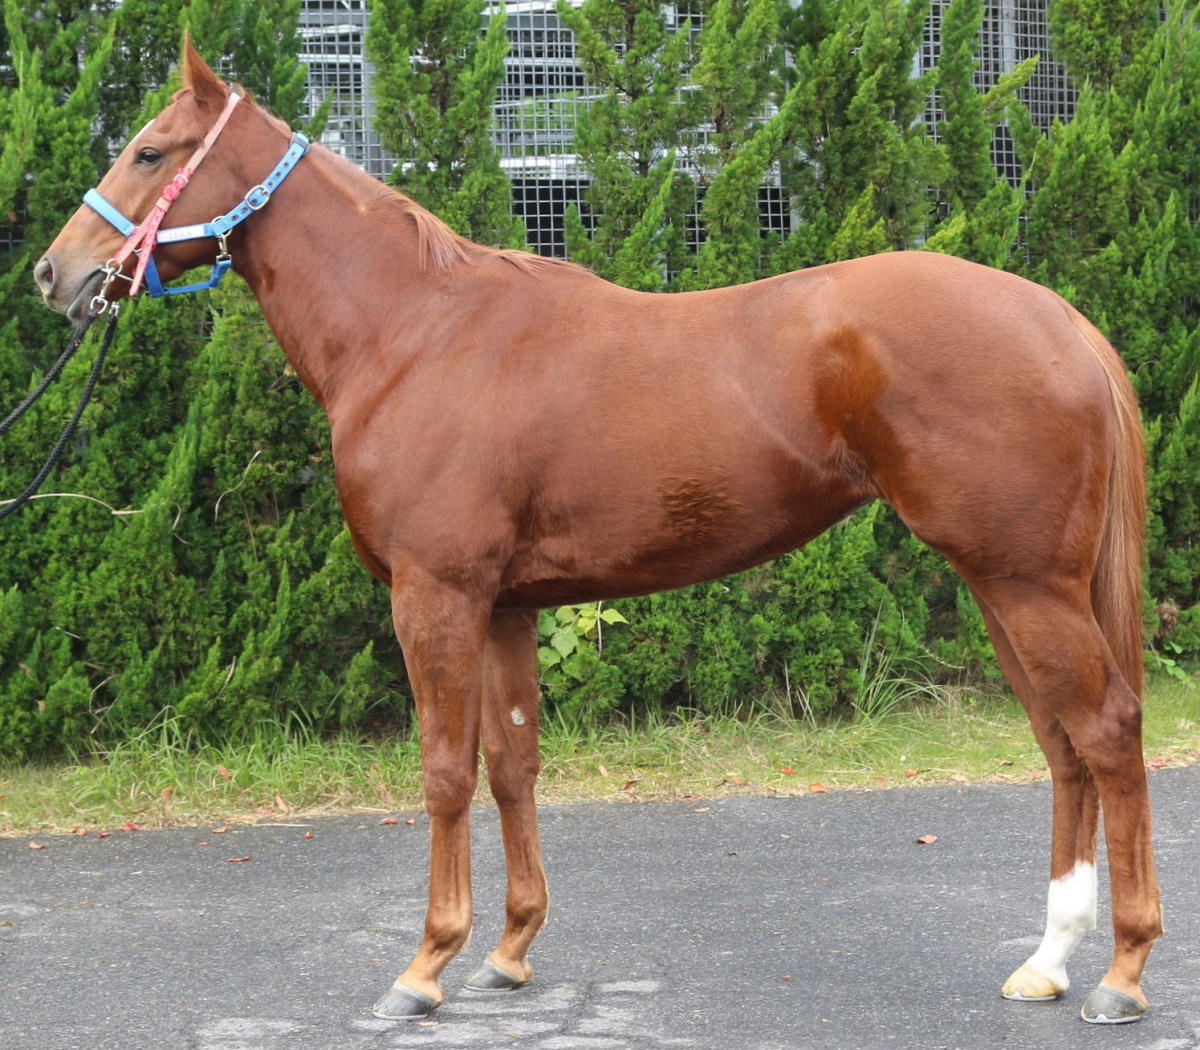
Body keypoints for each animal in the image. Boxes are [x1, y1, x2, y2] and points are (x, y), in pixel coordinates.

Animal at [34, 40, 1161, 1025]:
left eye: (149, 151)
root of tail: (1062, 321)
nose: (54, 273)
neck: (417, 332)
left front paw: (424, 967)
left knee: (1105, 732)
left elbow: (444, 772)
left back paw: (1121, 974)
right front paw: (507, 952)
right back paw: (1048, 963)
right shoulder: (505, 609)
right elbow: (512, 765)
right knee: (1061, 745)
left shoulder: (435, 598)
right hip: (1003, 586)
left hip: (1025, 583)